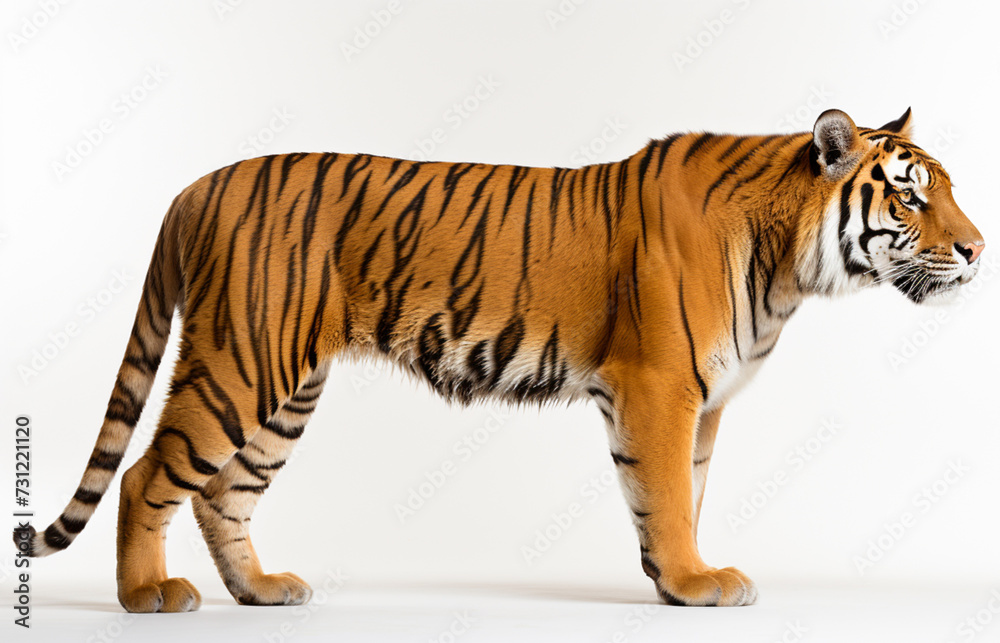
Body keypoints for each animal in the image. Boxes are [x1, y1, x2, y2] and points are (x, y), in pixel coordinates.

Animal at [13, 108, 984, 611]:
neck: (789, 262)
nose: (979, 250)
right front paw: (694, 581)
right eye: (911, 197)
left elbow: (685, 490)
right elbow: (669, 493)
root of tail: (194, 186)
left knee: (224, 490)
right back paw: (149, 596)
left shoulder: (702, 401)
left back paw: (260, 588)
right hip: (240, 361)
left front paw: (679, 579)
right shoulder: (661, 385)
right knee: (147, 474)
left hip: (288, 387)